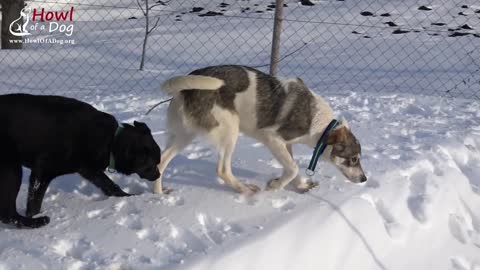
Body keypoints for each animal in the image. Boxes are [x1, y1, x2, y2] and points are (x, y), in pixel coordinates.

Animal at [0, 94, 161, 229]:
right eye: (153, 164)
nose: (158, 175)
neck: (111, 141)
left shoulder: (89, 169)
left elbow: (110, 186)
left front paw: (128, 197)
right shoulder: (42, 171)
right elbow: (34, 203)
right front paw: (34, 215)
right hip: (12, 169)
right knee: (8, 214)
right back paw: (36, 222)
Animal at [156, 65, 366, 194]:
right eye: (353, 159)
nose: (364, 179)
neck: (321, 125)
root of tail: (187, 87)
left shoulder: (285, 144)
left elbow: (292, 167)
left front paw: (300, 186)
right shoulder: (271, 137)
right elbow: (293, 168)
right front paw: (275, 186)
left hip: (183, 136)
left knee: (160, 163)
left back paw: (160, 194)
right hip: (230, 131)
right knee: (222, 170)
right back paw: (245, 190)